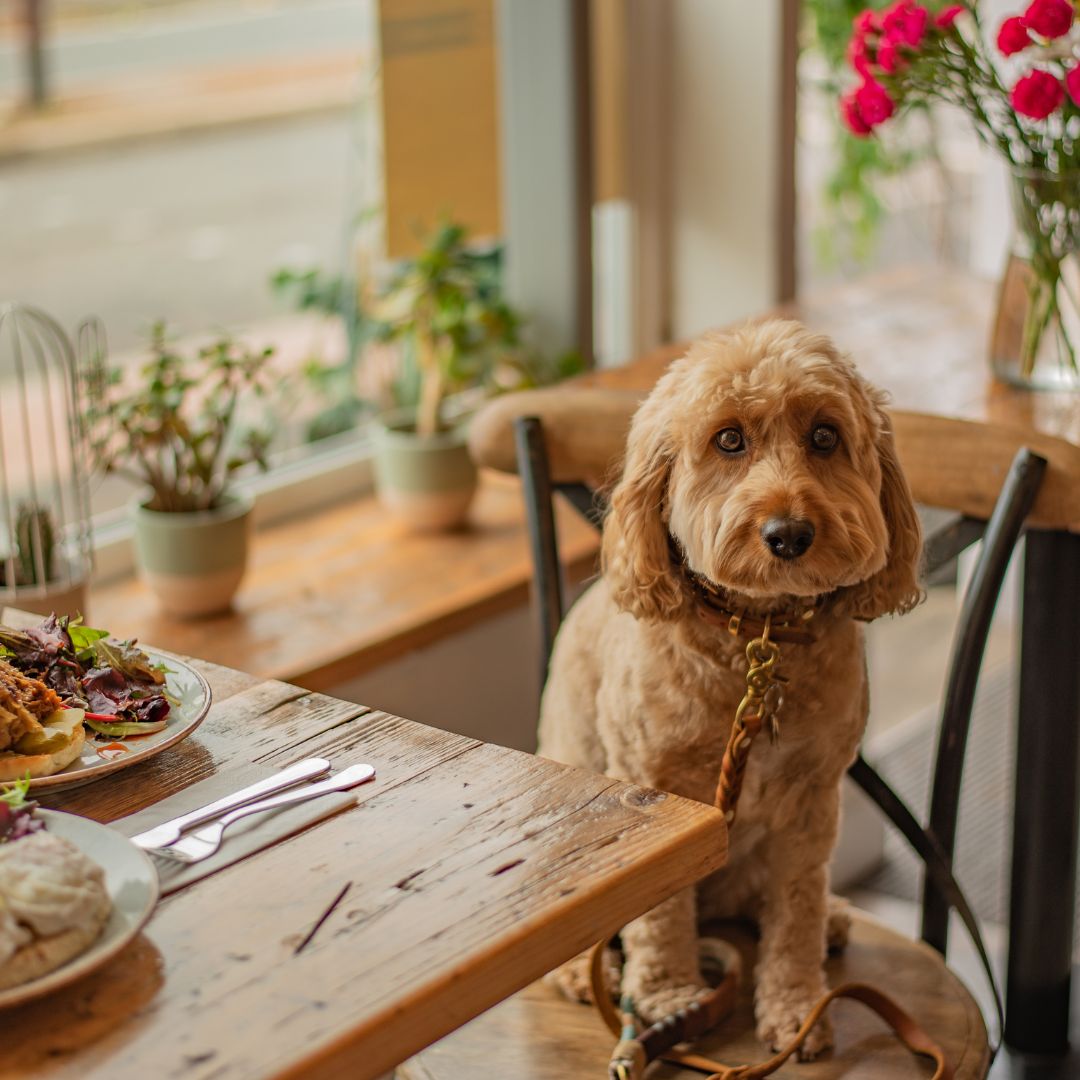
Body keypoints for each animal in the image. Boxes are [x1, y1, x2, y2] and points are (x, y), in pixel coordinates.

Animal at [540, 315, 920, 1058]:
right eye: (729, 439)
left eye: (825, 436)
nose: (789, 533)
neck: (756, 639)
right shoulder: (656, 795)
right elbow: (659, 915)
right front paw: (669, 1001)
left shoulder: (810, 801)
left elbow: (795, 910)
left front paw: (796, 1006)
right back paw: (577, 970)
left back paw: (830, 920)